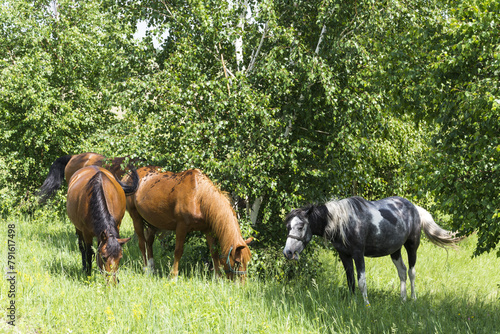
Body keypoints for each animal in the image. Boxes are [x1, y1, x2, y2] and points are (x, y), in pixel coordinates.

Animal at [123, 166, 252, 280]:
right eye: (237, 262)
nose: (242, 284)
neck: (199, 196)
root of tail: (128, 176)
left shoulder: (208, 229)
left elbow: (214, 252)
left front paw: (218, 278)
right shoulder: (181, 227)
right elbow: (178, 251)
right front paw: (173, 277)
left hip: (153, 221)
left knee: (149, 242)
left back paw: (152, 268)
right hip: (136, 218)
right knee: (142, 243)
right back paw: (146, 270)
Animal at [284, 197, 462, 304]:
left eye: (300, 226)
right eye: (288, 226)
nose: (287, 252)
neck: (344, 222)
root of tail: (415, 208)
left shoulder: (358, 254)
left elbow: (361, 281)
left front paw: (366, 304)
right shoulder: (344, 255)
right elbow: (351, 280)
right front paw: (352, 303)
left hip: (412, 246)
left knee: (412, 272)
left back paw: (413, 298)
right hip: (395, 250)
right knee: (402, 271)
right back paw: (403, 299)